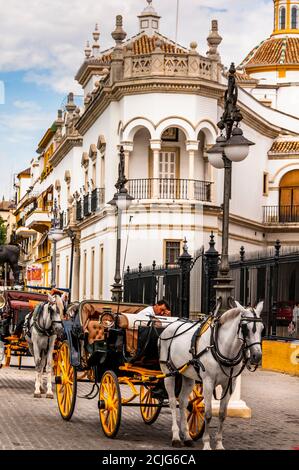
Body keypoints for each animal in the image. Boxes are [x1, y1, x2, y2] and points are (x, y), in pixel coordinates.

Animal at [159, 302, 264, 450]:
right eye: (245, 328)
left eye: (262, 329)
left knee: (183, 402)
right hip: (169, 373)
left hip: (187, 376)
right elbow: (208, 414)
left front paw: (219, 444)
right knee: (173, 402)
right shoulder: (208, 382)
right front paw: (207, 444)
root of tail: (168, 327)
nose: (257, 356)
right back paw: (175, 437)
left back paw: (187, 436)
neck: (221, 347)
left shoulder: (230, 384)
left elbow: (222, 414)